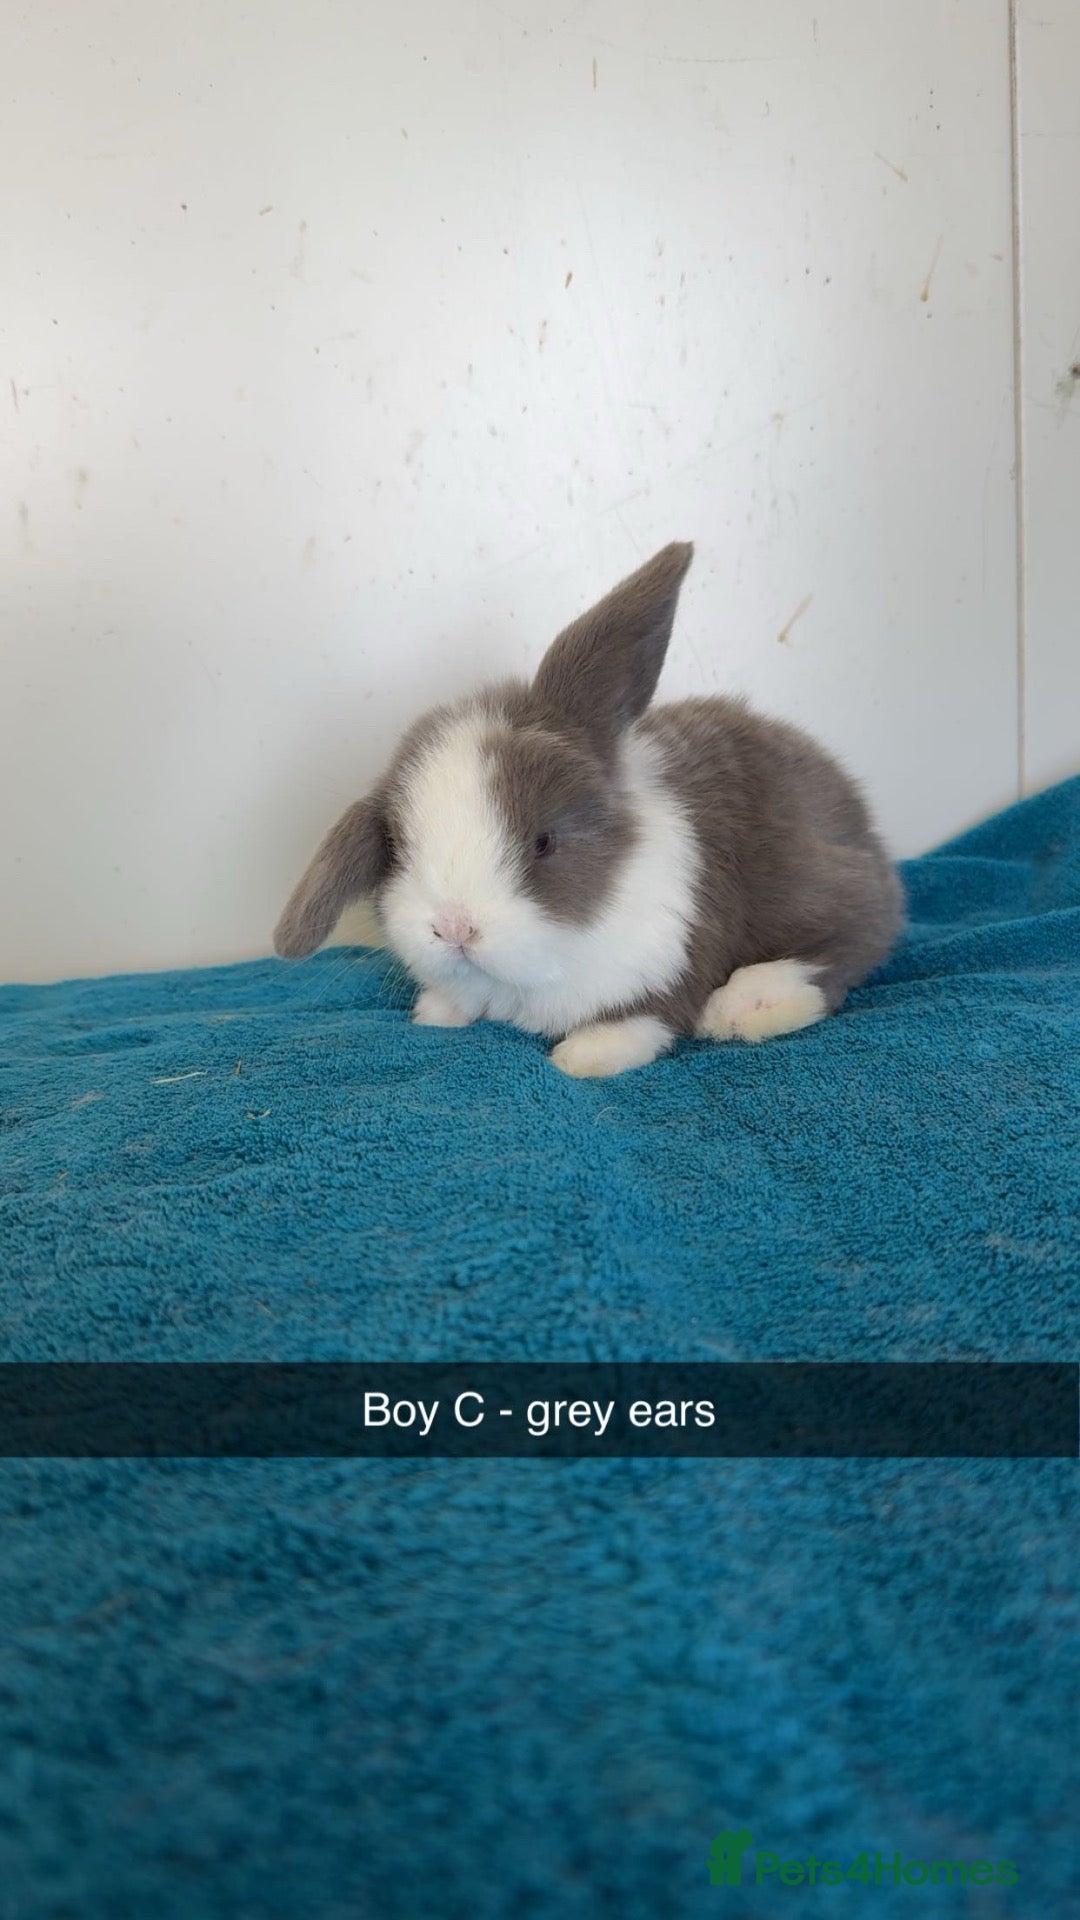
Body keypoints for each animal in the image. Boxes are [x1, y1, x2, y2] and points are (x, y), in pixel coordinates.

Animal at [274, 542, 903, 1077]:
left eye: (544, 842)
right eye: (400, 849)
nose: (454, 927)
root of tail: (866, 828)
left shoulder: (678, 949)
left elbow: (651, 1013)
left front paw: (588, 1054)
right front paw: (438, 1011)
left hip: (816, 882)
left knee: (854, 943)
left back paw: (747, 1004)